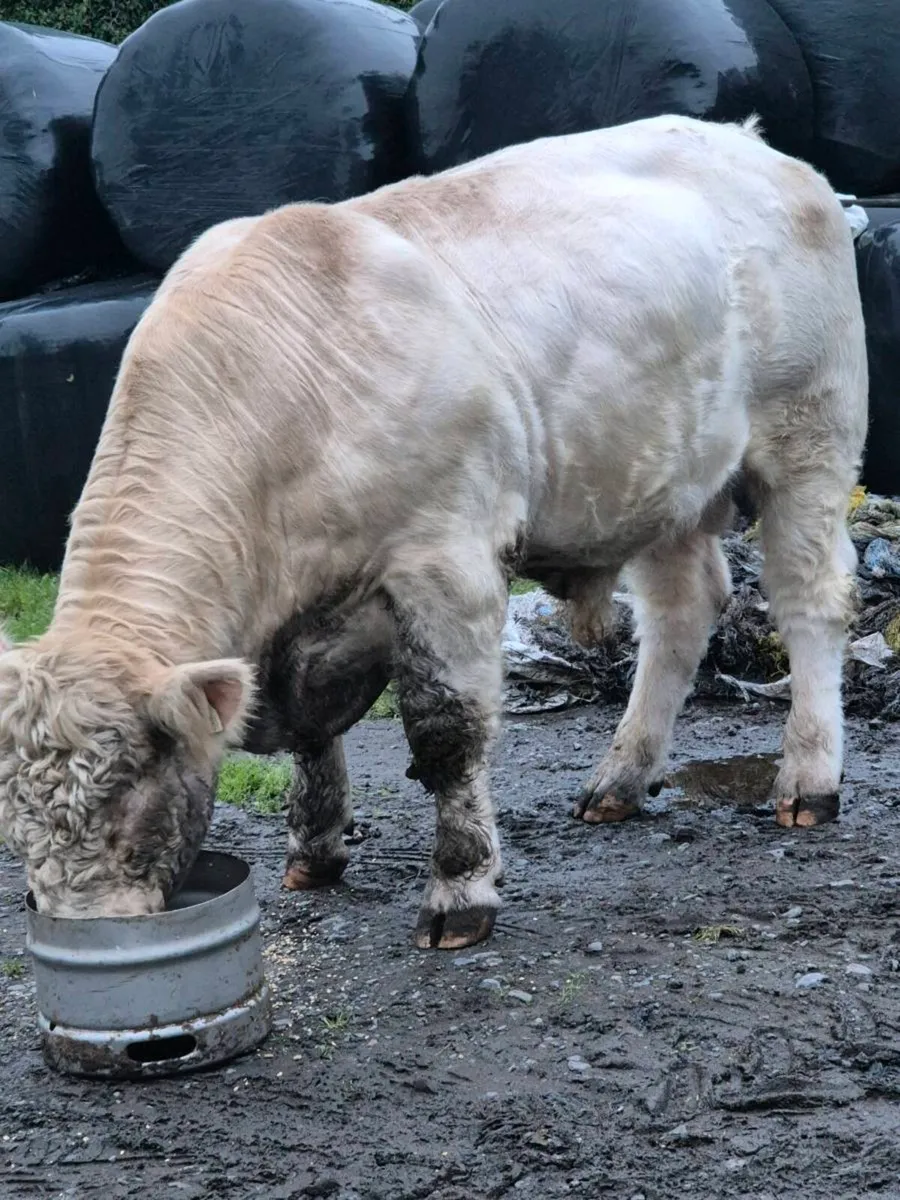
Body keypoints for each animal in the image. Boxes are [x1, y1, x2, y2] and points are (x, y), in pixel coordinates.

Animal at [0, 114, 867, 949]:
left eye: (129, 789)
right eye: (14, 816)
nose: (84, 925)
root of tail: (757, 147)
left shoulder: (444, 559)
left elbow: (447, 735)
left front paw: (460, 891)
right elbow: (311, 736)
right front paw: (314, 848)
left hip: (810, 435)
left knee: (809, 601)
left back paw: (809, 780)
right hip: (666, 480)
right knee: (682, 612)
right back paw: (621, 778)